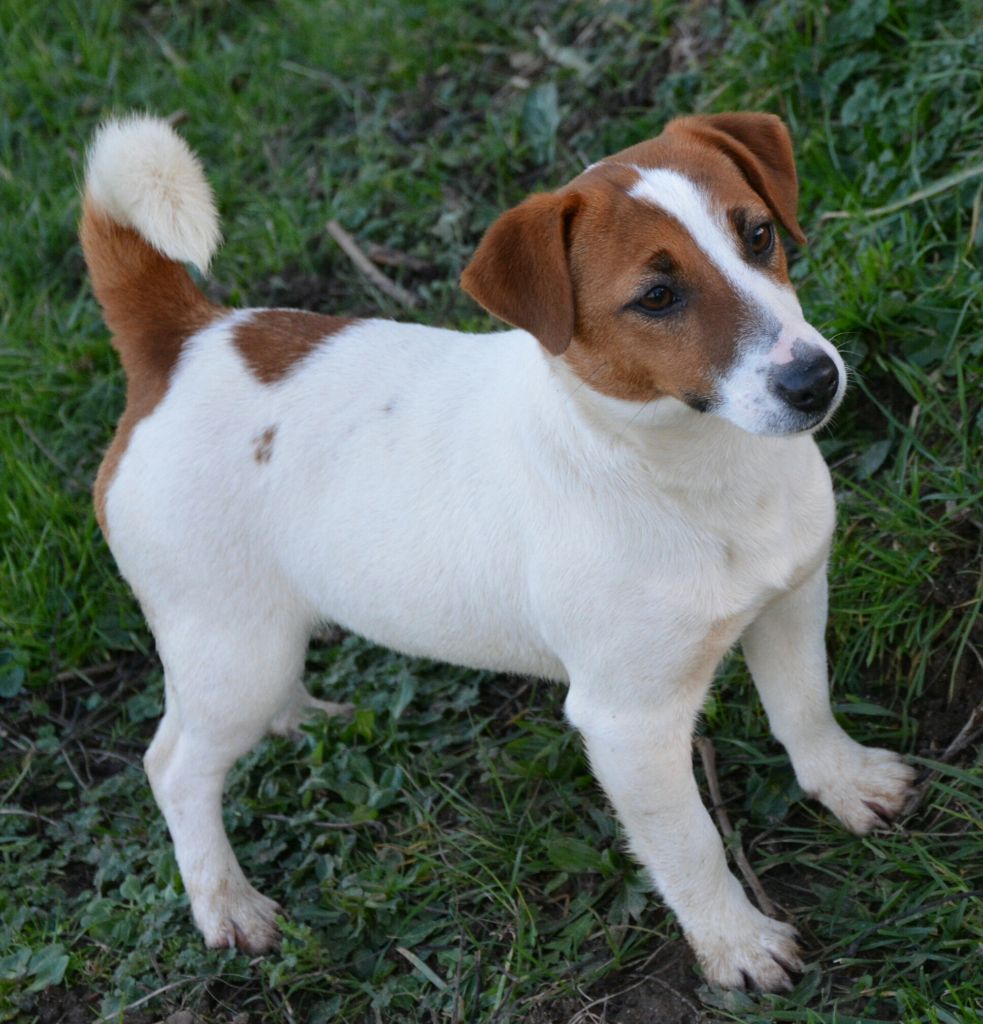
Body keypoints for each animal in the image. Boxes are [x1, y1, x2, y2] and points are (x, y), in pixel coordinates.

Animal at [79, 111, 915, 991]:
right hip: (231, 648)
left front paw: (846, 783)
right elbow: (687, 845)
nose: (815, 381)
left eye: (757, 235)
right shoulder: (627, 723)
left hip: (249, 645)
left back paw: (300, 719)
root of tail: (186, 342)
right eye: (656, 297)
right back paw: (227, 904)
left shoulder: (791, 597)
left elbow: (804, 706)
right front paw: (736, 943)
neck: (691, 467)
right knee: (173, 766)